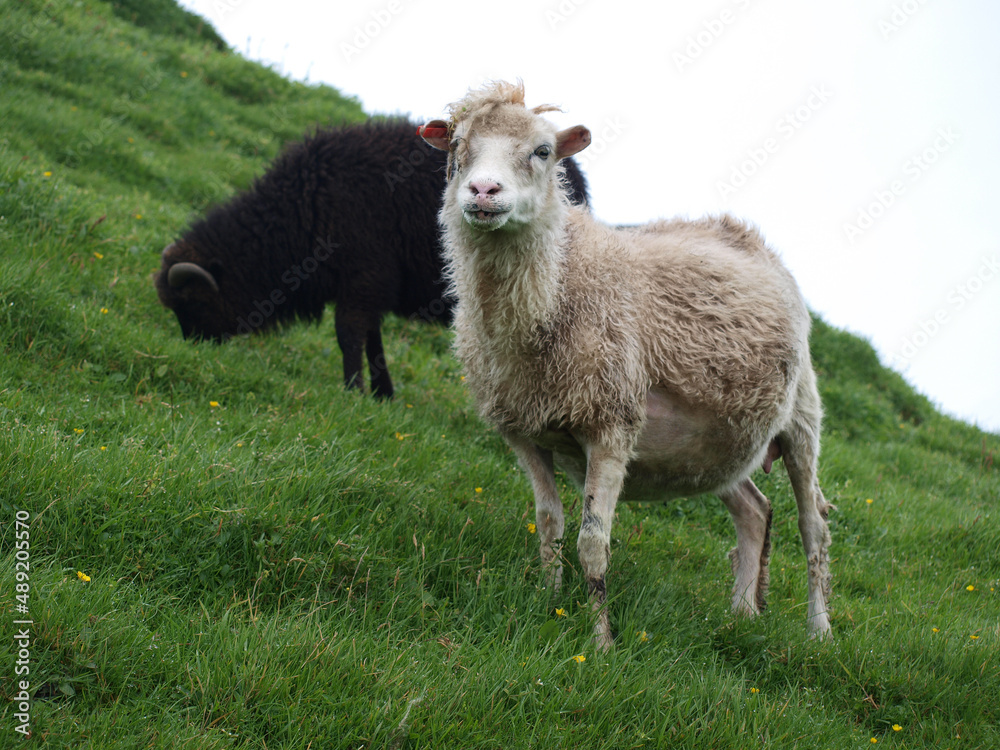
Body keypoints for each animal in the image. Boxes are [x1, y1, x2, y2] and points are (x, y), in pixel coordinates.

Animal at [154, 119, 590, 399]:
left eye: (193, 303)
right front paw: (382, 393)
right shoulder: (370, 284)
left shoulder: (362, 276)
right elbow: (371, 337)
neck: (302, 211)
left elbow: (348, 334)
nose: (195, 346)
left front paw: (353, 391)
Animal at [420, 81, 833, 649]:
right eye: (457, 144)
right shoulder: (523, 432)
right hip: (718, 445)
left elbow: (593, 543)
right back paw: (742, 616)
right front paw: (548, 600)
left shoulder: (611, 426)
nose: (483, 191)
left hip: (802, 420)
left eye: (543, 151)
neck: (560, 288)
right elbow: (549, 526)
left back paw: (820, 631)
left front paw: (600, 640)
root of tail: (749, 236)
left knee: (813, 524)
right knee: (754, 511)